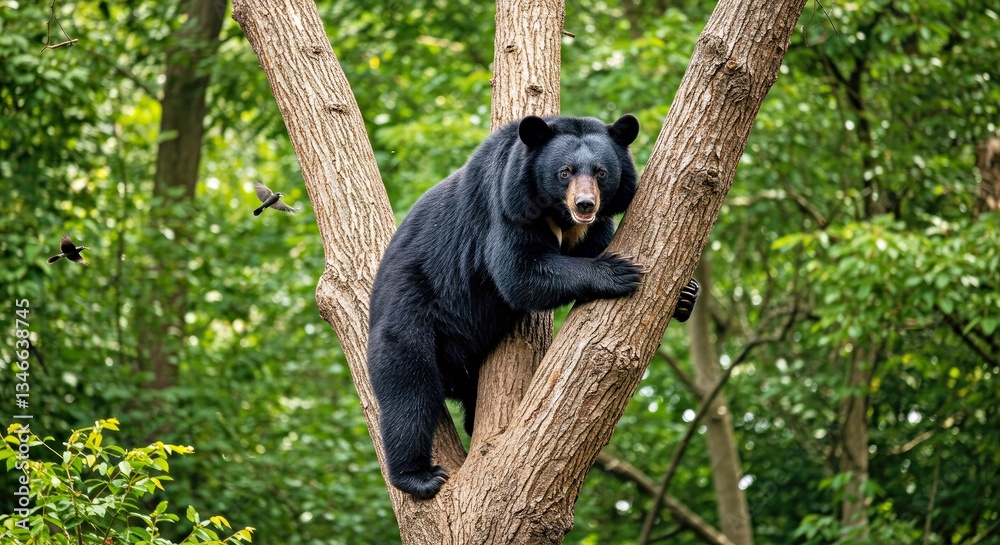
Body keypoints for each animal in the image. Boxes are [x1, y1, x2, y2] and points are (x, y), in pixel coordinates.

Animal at [366, 114, 700, 500]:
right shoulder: (506, 207)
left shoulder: (589, 227)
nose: (585, 204)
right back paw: (418, 475)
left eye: (601, 172)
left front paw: (687, 294)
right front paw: (617, 271)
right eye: (564, 172)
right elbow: (520, 272)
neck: (557, 213)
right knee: (409, 393)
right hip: (411, 318)